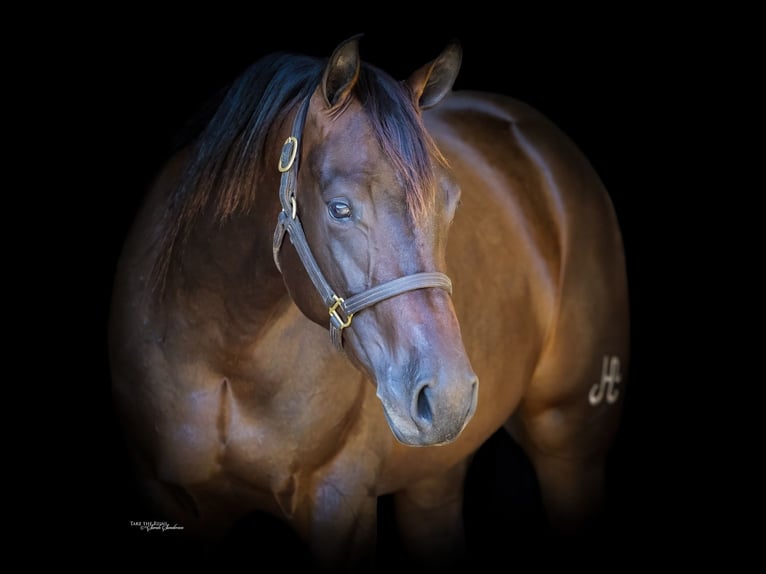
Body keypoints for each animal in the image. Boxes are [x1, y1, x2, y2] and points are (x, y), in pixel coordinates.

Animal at [111, 35, 632, 572]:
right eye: (340, 208)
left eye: (451, 203)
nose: (447, 396)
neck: (224, 353)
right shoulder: (169, 497)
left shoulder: (339, 502)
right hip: (436, 475)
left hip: (570, 444)